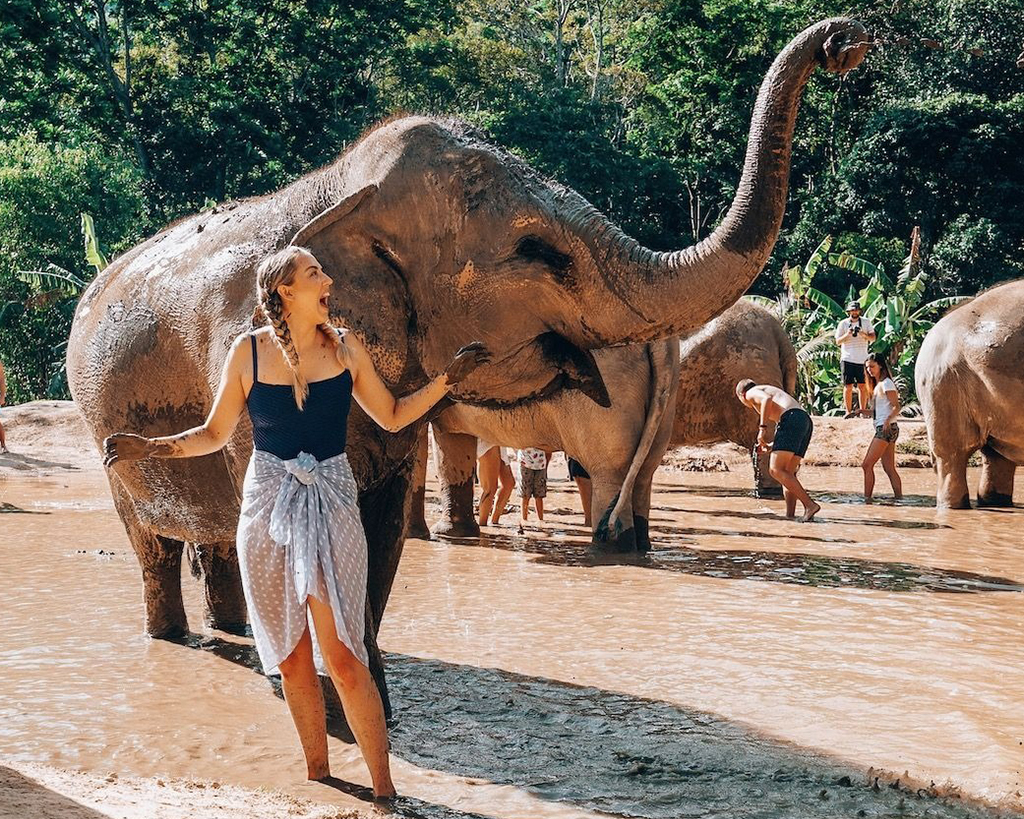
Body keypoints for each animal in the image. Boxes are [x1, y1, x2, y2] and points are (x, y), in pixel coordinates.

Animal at [411, 296, 794, 552]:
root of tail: (782, 333)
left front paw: (439, 536)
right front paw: (451, 535)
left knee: (611, 470)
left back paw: (607, 548)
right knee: (643, 473)